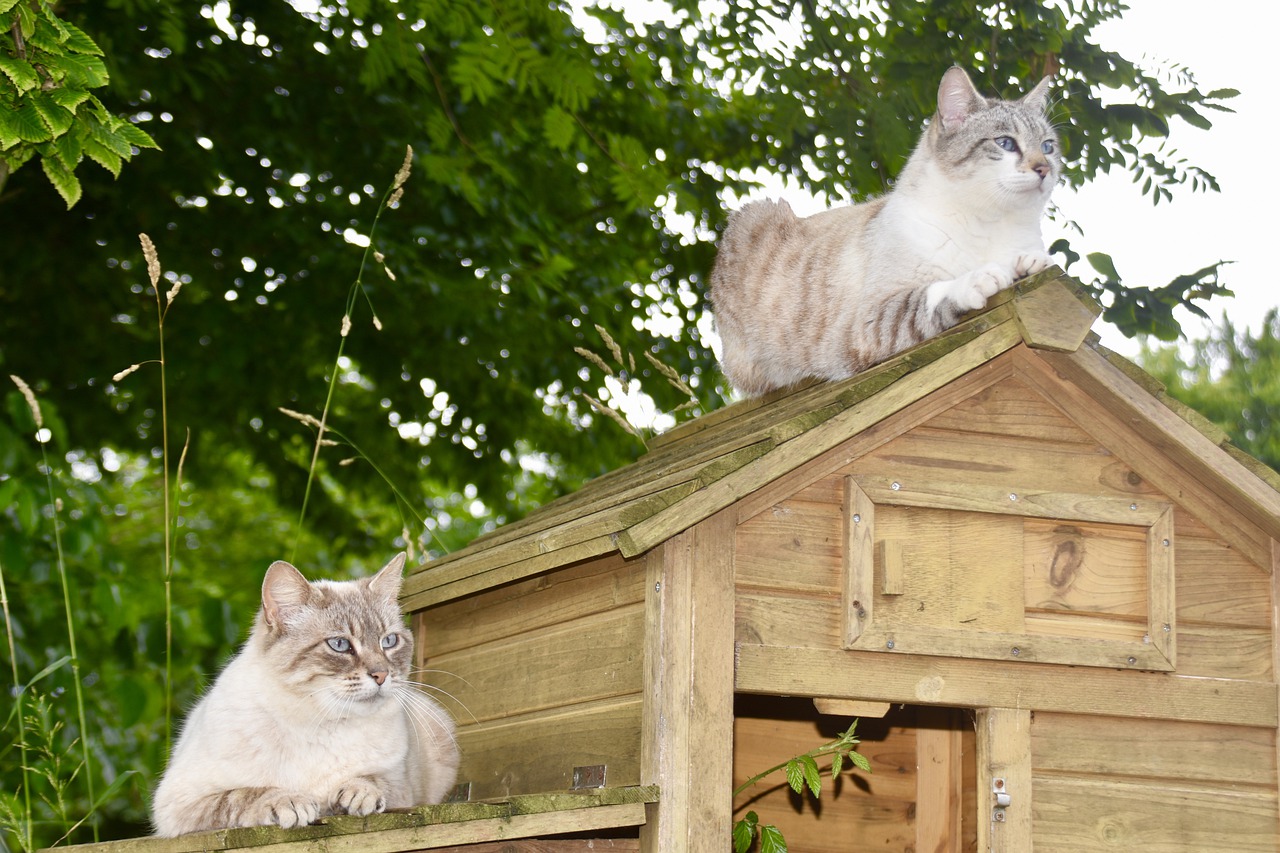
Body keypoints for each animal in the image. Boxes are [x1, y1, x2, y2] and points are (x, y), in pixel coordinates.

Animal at [150, 550, 460, 835]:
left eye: (390, 641)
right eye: (339, 644)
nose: (382, 675)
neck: (320, 720)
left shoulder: (400, 786)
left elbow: (372, 782)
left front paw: (356, 795)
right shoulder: (177, 804)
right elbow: (246, 794)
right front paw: (291, 803)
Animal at [711, 64, 1059, 394]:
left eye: (1048, 146)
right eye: (1006, 143)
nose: (1044, 168)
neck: (989, 222)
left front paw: (1032, 262)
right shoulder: (870, 322)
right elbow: (928, 295)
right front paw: (981, 277)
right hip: (756, 215)